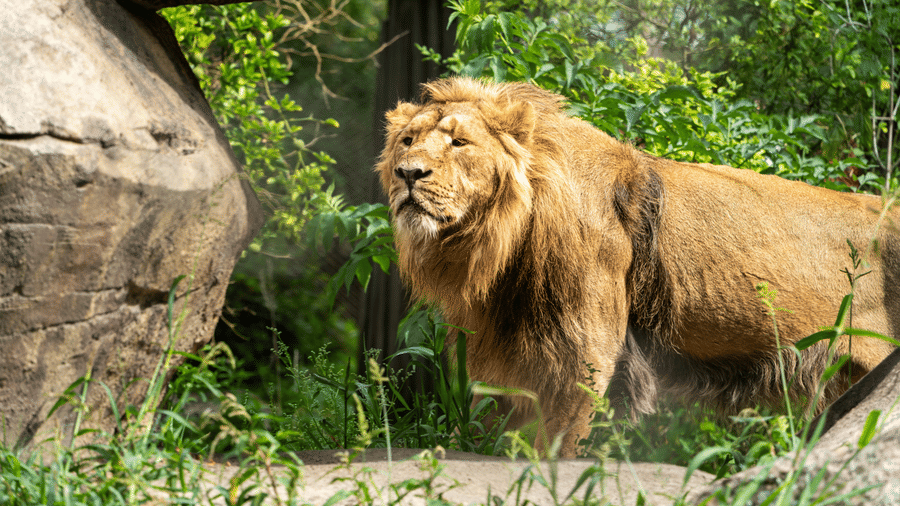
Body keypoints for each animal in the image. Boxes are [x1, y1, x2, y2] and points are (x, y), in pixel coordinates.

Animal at [376, 76, 899, 458]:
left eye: (459, 142)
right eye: (407, 141)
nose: (408, 173)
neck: (495, 243)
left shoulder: (585, 349)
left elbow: (554, 443)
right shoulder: (503, 346)